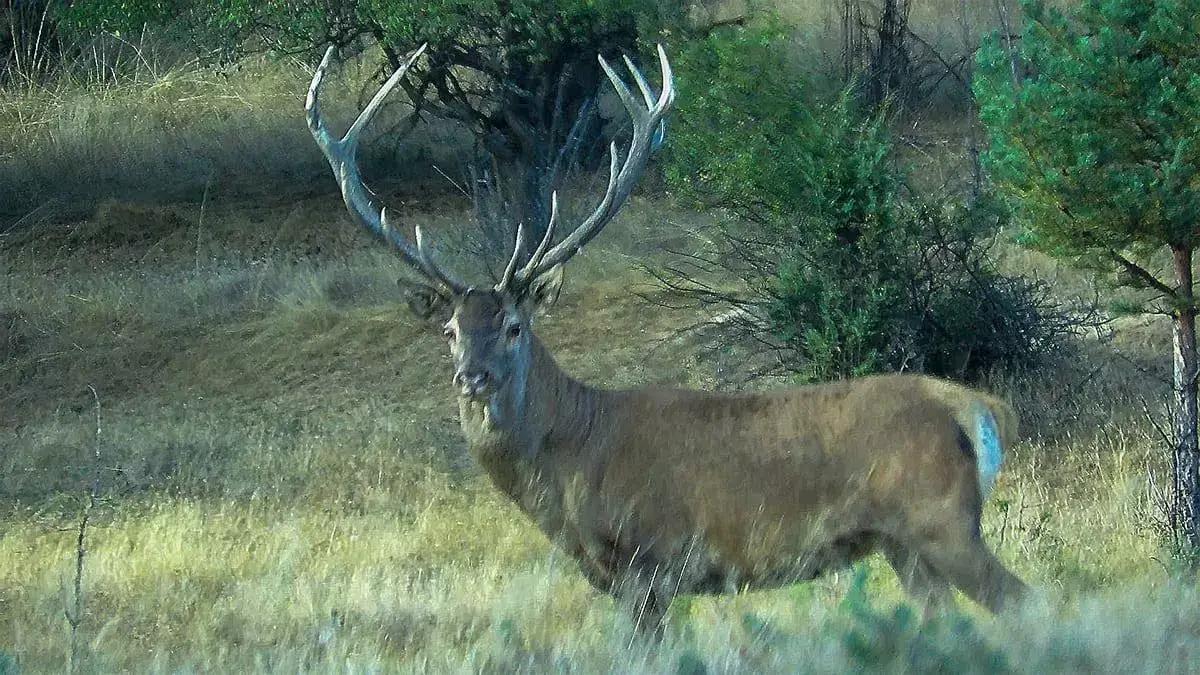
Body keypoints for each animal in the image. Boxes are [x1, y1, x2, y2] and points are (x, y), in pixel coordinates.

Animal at [304, 43, 1027, 634]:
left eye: (514, 325)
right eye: (450, 329)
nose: (472, 377)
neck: (571, 466)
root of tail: (980, 407)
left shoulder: (646, 566)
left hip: (942, 522)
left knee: (1025, 603)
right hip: (905, 546)